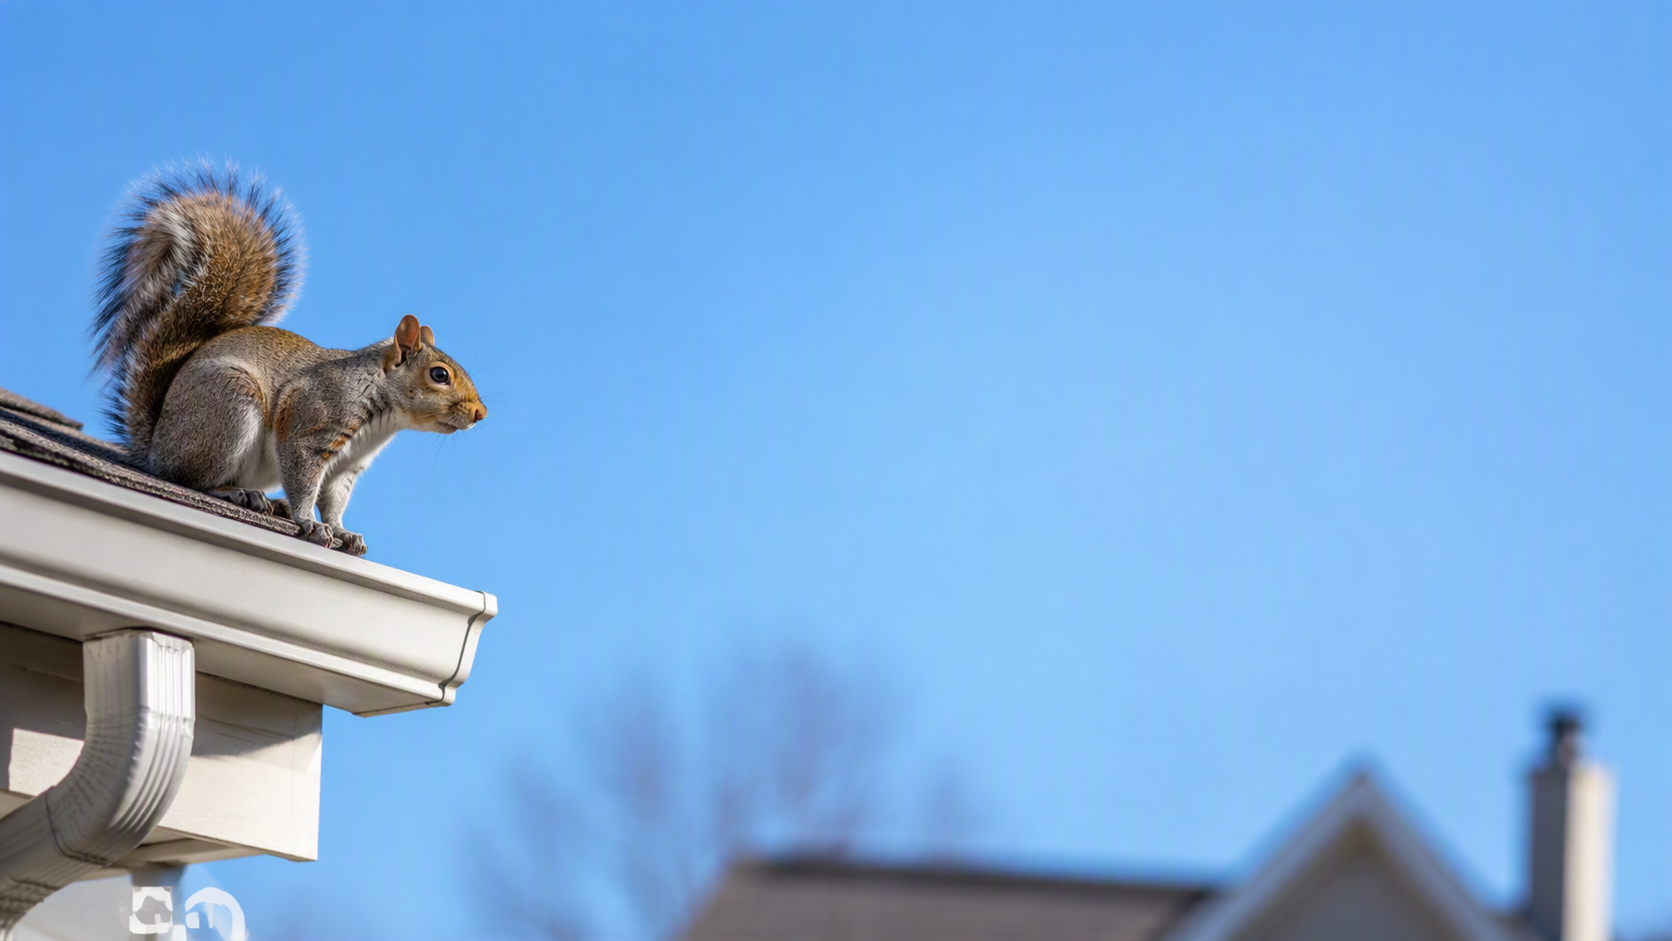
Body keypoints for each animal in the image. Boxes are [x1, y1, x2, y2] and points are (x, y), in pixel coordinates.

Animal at [90, 165, 486, 557]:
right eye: (439, 375)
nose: (480, 413)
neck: (382, 412)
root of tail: (156, 449)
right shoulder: (311, 422)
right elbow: (304, 480)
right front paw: (309, 522)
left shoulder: (346, 467)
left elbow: (333, 501)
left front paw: (342, 531)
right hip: (227, 409)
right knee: (192, 479)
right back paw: (234, 492)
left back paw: (269, 501)